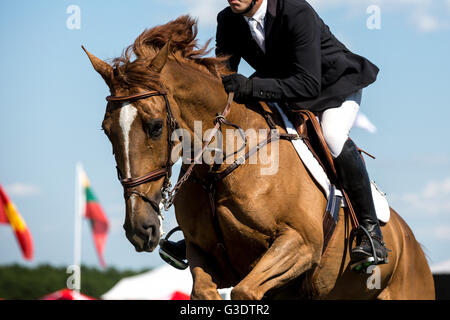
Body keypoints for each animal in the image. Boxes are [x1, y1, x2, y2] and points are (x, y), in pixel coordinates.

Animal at [82, 15, 434, 300]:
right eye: (106, 130)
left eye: (155, 127)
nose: (139, 229)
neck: (219, 169)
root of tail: (413, 244)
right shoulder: (202, 252)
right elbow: (206, 291)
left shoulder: (300, 244)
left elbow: (245, 290)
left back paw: (370, 242)